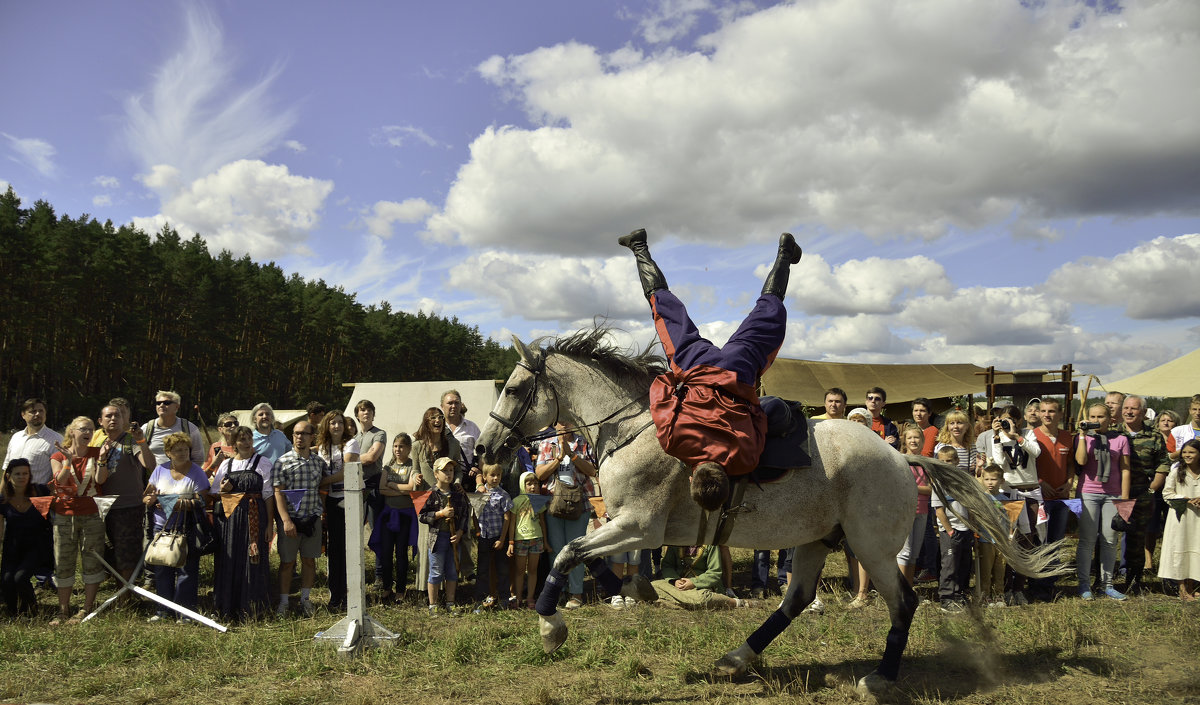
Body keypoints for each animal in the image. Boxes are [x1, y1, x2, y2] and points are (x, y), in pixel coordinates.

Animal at [472, 328, 1065, 695]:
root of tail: (901, 456)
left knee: (903, 604)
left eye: (516, 387)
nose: (483, 449)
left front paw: (550, 626)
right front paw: (631, 589)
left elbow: (567, 551)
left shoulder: (638, 526)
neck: (638, 427)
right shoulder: (623, 525)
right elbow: (582, 551)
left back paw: (880, 679)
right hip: (814, 540)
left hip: (871, 548)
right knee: (796, 599)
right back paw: (739, 657)